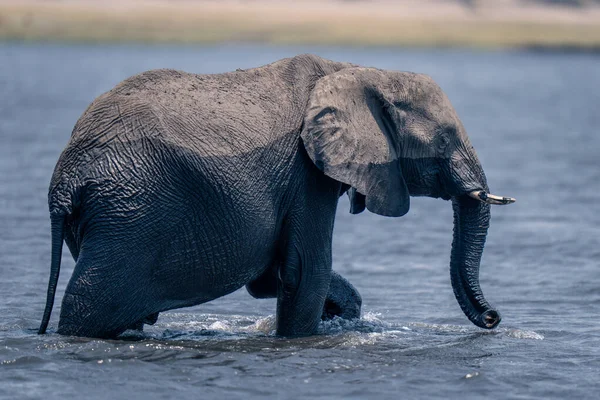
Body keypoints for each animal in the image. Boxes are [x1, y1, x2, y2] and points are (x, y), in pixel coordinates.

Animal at [38, 54, 516, 340]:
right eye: (446, 137)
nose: (494, 318)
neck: (358, 70)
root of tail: (64, 179)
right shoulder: (306, 172)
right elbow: (305, 271)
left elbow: (273, 273)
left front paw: (341, 314)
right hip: (130, 212)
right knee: (88, 303)